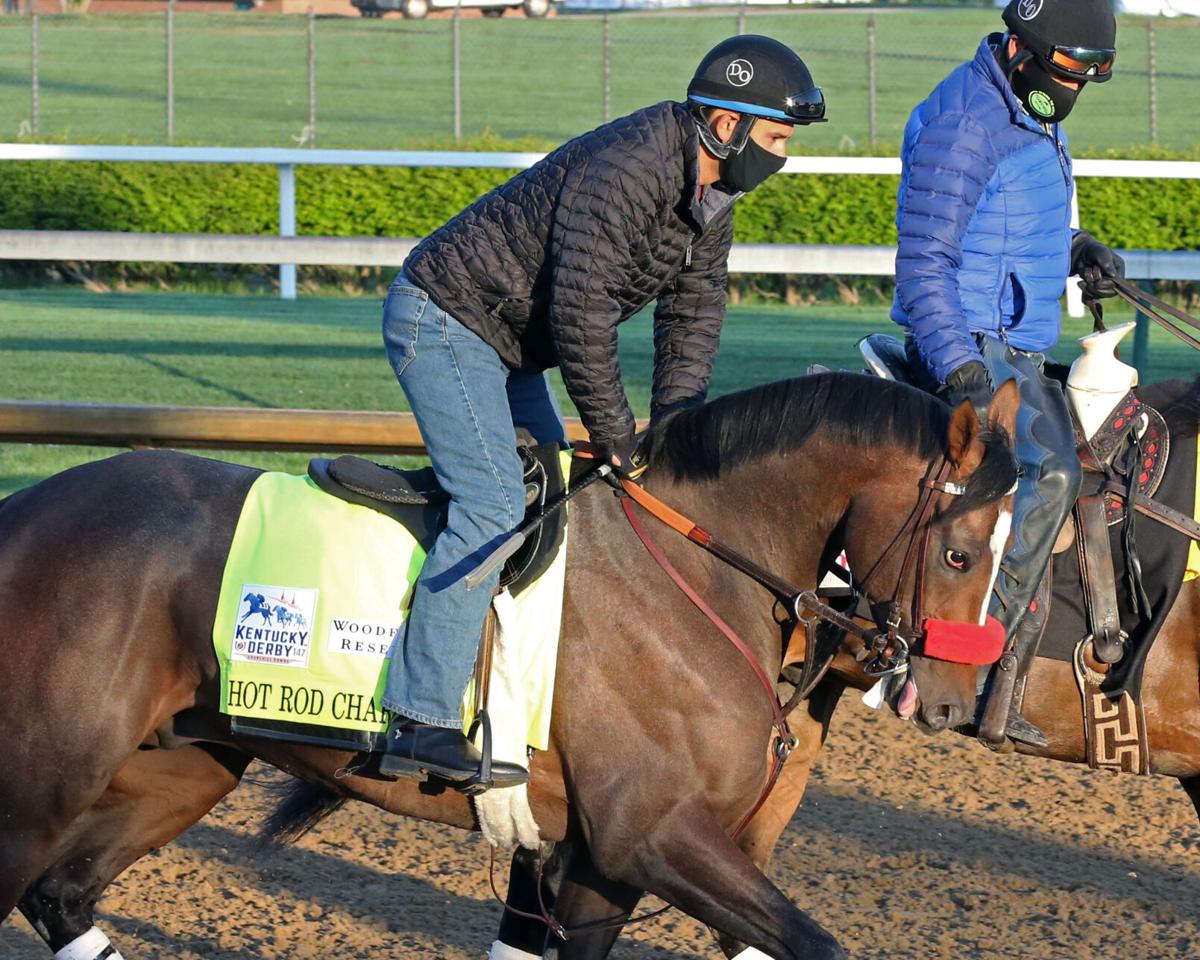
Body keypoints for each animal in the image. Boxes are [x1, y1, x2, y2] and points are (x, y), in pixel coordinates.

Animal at [3, 372, 1019, 960]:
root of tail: (23, 510)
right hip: (40, 783)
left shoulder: (598, 860)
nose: (949, 702)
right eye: (962, 552)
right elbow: (816, 944)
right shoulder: (651, 834)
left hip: (180, 766)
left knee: (59, 896)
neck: (693, 571)